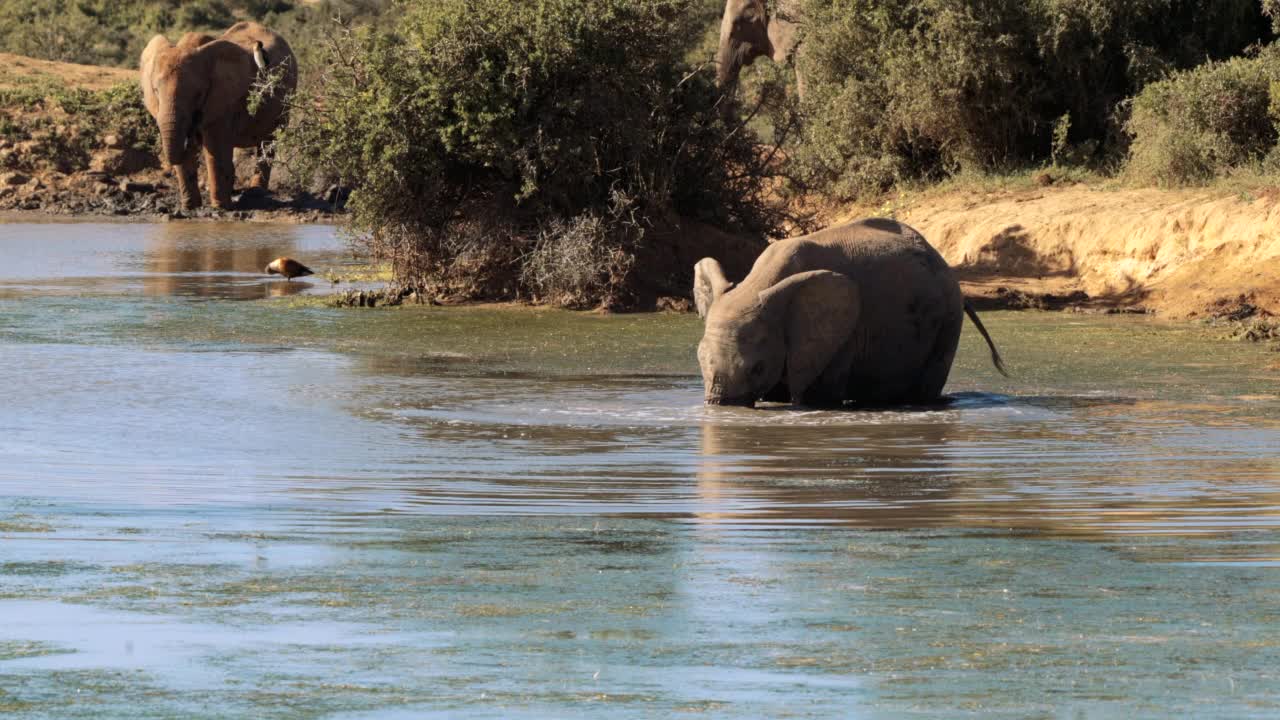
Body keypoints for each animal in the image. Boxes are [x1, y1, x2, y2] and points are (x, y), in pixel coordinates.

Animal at [140, 20, 296, 210]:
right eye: (155, 90)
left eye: (198, 94)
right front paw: (190, 207)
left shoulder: (223, 98)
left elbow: (215, 146)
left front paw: (220, 207)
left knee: (267, 142)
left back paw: (256, 193)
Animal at [696, 215, 1003, 407]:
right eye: (699, 361)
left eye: (757, 368)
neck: (760, 282)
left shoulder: (840, 335)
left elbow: (818, 395)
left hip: (948, 319)